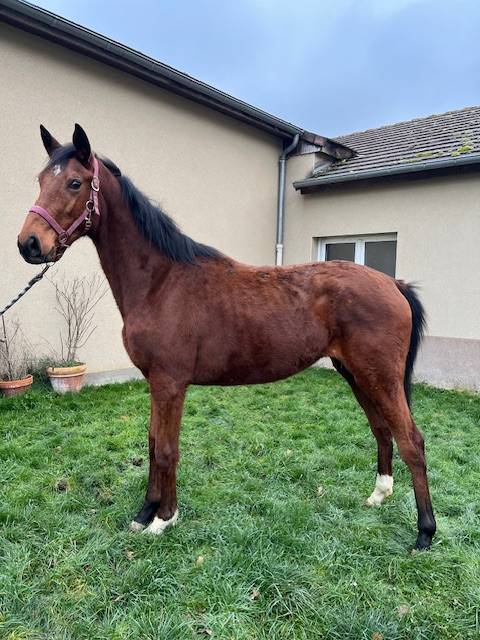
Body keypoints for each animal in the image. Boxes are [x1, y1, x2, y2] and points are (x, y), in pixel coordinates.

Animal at [17, 124, 436, 550]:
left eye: (74, 183)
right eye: (40, 180)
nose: (29, 244)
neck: (161, 281)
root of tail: (394, 283)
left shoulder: (170, 383)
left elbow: (166, 449)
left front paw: (164, 519)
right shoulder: (155, 382)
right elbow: (151, 444)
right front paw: (144, 513)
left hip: (378, 376)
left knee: (411, 440)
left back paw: (424, 532)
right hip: (355, 373)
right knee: (382, 429)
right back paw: (379, 496)